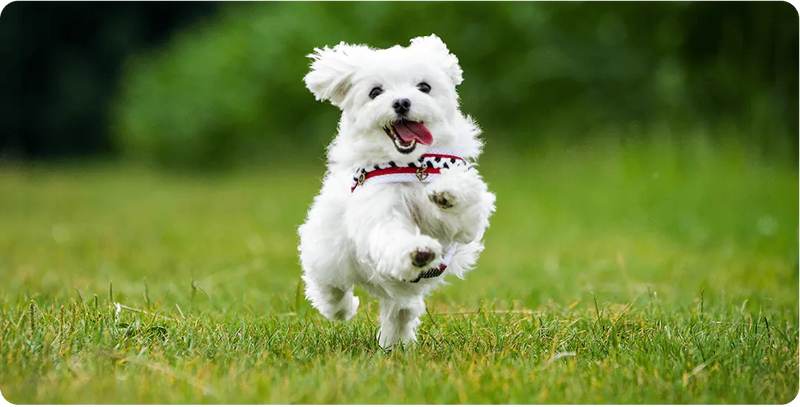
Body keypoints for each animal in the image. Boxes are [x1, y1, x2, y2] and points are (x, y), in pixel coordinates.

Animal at [296, 33, 494, 350]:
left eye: (424, 87)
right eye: (375, 91)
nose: (401, 102)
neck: (411, 166)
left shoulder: (462, 224)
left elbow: (465, 206)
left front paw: (447, 192)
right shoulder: (378, 212)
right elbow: (391, 235)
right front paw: (417, 252)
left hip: (398, 296)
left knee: (400, 310)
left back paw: (394, 344)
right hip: (328, 253)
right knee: (331, 289)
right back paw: (342, 308)